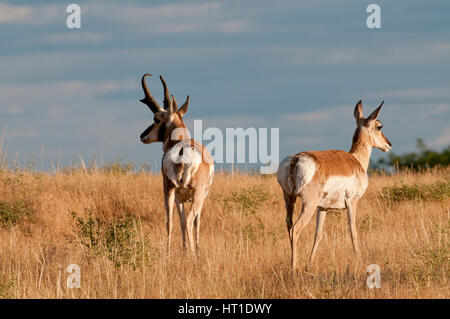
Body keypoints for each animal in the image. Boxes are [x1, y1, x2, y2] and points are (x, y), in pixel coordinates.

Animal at [138, 74, 214, 256]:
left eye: (156, 119)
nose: (142, 136)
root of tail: (182, 152)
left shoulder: (179, 197)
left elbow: (180, 222)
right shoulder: (196, 197)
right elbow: (195, 223)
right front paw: (194, 250)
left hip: (170, 191)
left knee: (170, 221)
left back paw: (168, 253)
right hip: (191, 194)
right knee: (189, 221)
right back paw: (192, 254)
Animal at [278, 101, 390, 272]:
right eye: (379, 126)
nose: (389, 144)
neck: (356, 160)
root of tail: (296, 159)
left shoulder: (322, 208)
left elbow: (318, 235)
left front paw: (309, 266)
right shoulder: (352, 202)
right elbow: (353, 231)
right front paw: (359, 261)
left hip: (290, 200)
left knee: (289, 227)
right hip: (308, 205)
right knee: (296, 229)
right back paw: (294, 269)